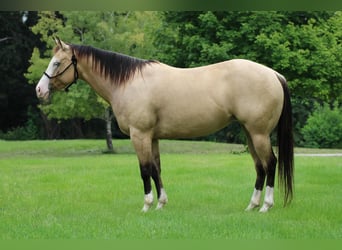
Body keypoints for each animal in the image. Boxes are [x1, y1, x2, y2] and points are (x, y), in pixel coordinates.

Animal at [36, 38, 294, 212]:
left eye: (56, 63)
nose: (39, 90)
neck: (128, 82)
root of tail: (274, 74)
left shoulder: (139, 135)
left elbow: (144, 170)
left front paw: (147, 205)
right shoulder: (152, 137)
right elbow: (156, 168)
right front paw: (161, 204)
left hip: (259, 134)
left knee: (270, 164)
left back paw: (266, 206)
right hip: (249, 133)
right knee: (260, 167)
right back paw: (252, 205)